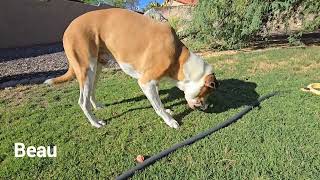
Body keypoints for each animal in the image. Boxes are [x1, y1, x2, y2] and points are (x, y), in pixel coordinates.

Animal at [44, 8, 218, 129]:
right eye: (205, 93)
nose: (208, 107)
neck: (179, 58)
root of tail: (69, 27)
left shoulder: (154, 82)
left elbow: (158, 101)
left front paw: (168, 111)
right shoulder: (146, 82)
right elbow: (158, 106)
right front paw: (170, 121)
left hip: (96, 68)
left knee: (91, 92)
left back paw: (97, 106)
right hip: (86, 68)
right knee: (82, 101)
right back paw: (95, 123)